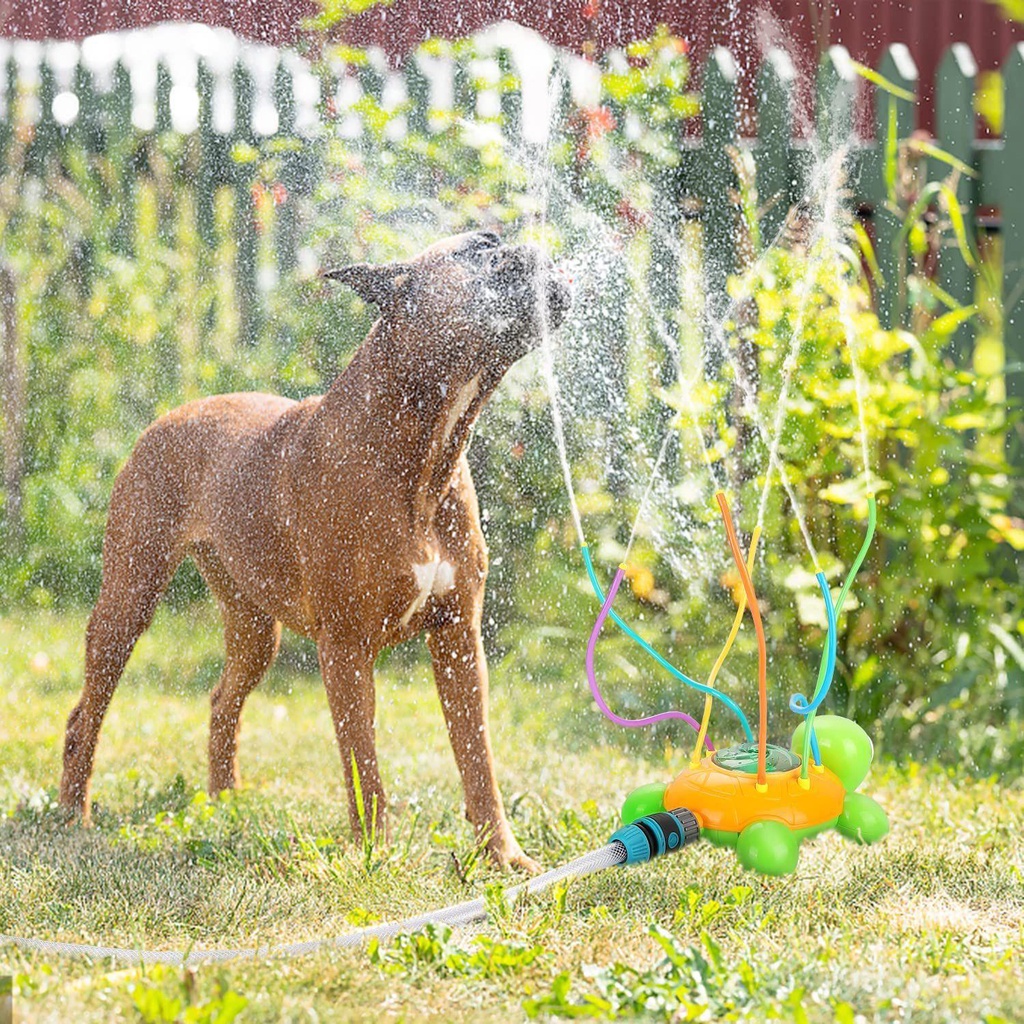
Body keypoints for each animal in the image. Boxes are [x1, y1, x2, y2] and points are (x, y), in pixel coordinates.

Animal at [59, 234, 573, 872]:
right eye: (481, 248)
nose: (537, 246)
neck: (422, 447)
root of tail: (174, 413)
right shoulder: (347, 649)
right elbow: (364, 768)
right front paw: (375, 859)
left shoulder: (458, 640)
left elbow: (477, 760)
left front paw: (503, 857)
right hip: (128, 603)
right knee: (86, 714)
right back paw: (72, 814)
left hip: (256, 633)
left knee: (222, 702)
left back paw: (225, 804)